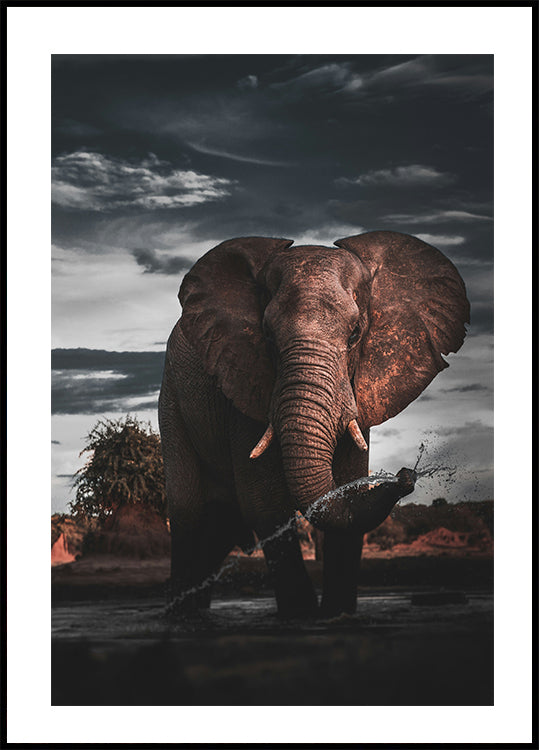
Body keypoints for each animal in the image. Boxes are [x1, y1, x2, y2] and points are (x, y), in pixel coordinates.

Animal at [158, 231, 470, 617]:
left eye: (355, 334)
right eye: (266, 335)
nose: (405, 476)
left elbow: (347, 489)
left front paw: (337, 615)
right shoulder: (244, 383)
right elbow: (266, 504)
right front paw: (302, 617)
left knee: (220, 527)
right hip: (172, 400)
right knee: (189, 514)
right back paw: (180, 617)